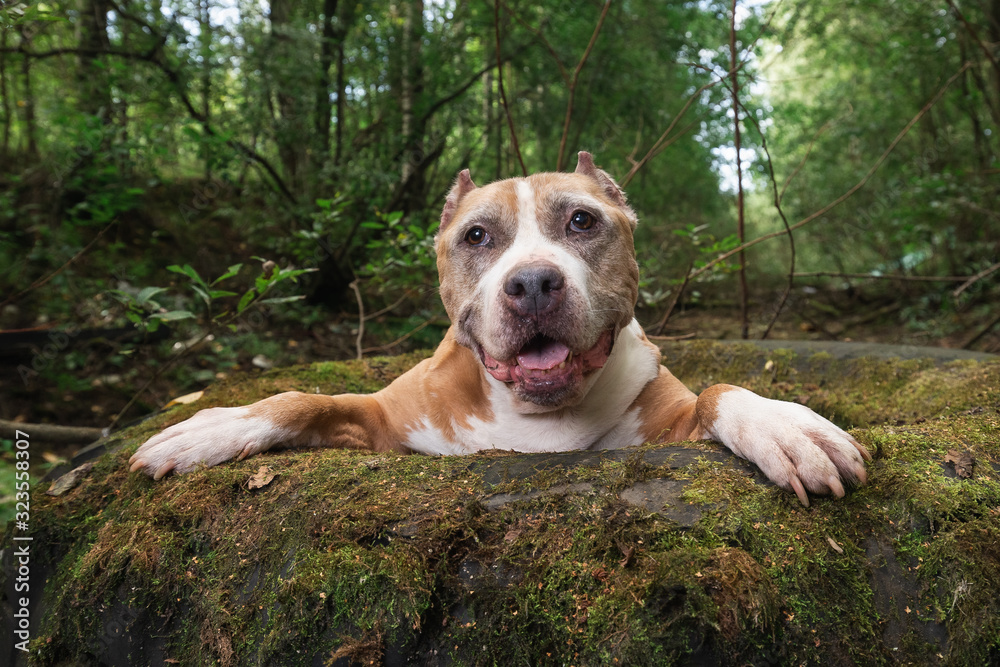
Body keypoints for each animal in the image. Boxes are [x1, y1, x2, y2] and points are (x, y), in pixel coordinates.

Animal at [131, 151, 868, 506]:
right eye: (477, 235)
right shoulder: (381, 420)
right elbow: (302, 397)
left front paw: (783, 425)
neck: (532, 413)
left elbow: (718, 391)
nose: (534, 283)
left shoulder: (670, 423)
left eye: (582, 221)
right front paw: (214, 428)